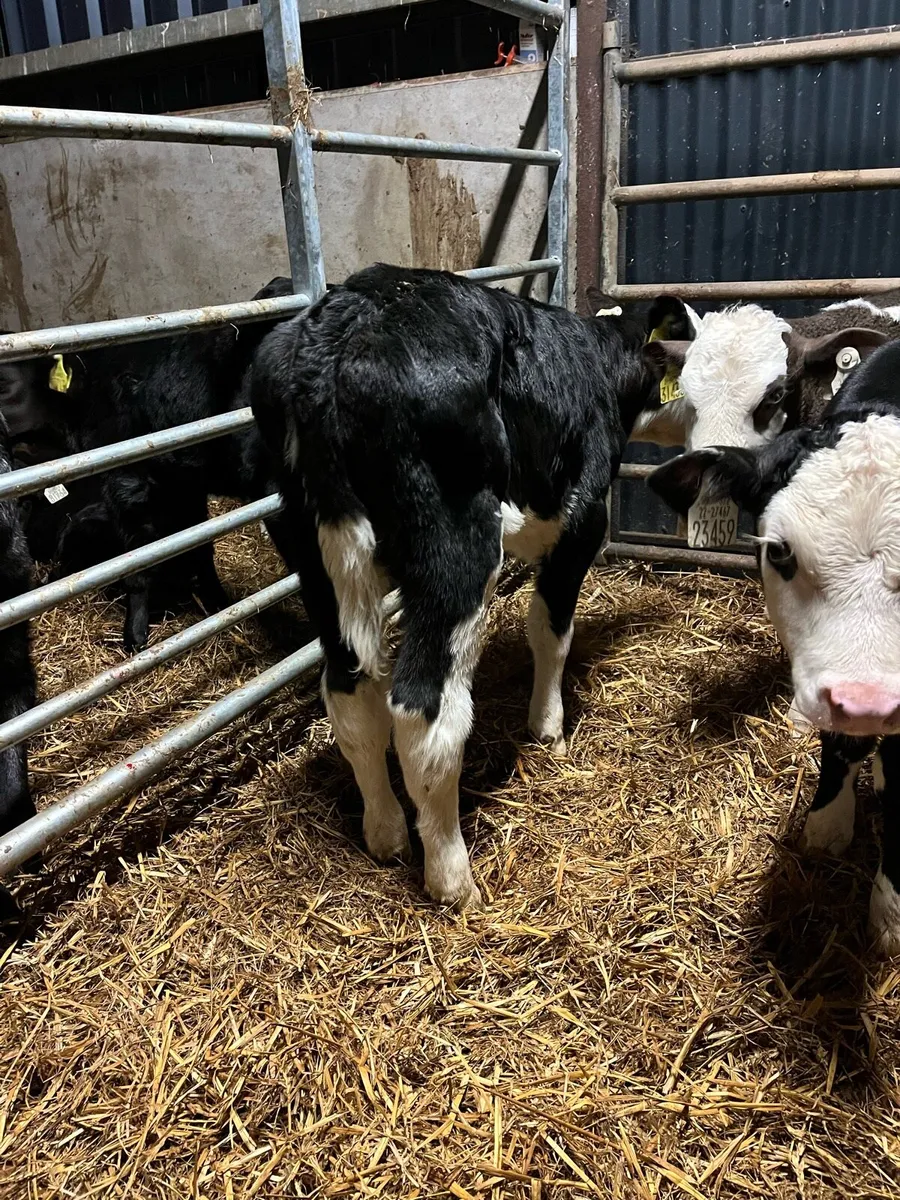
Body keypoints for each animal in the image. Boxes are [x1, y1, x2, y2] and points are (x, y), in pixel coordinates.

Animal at [250, 263, 660, 909]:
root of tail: (345, 321)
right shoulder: (584, 520)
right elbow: (551, 631)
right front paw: (548, 727)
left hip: (307, 550)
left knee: (350, 695)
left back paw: (385, 834)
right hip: (456, 550)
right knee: (424, 715)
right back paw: (452, 878)